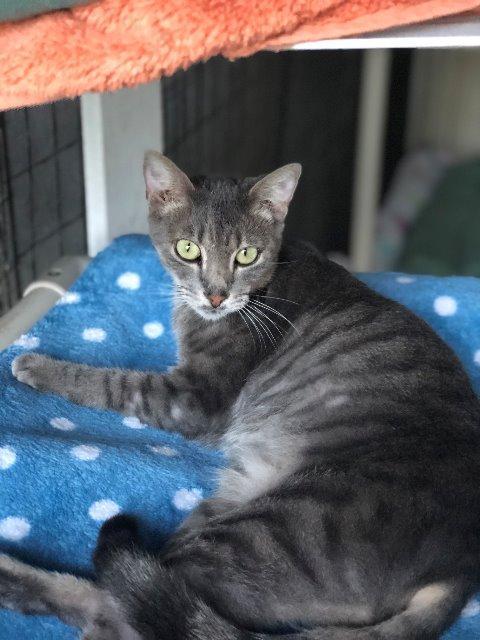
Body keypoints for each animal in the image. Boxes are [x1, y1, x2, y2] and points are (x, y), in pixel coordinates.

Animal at [2, 151, 480, 640]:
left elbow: (114, 383)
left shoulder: (193, 398)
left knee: (117, 606)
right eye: (187, 249)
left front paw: (38, 366)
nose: (215, 296)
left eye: (246, 254)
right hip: (227, 504)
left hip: (275, 531)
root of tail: (458, 572)